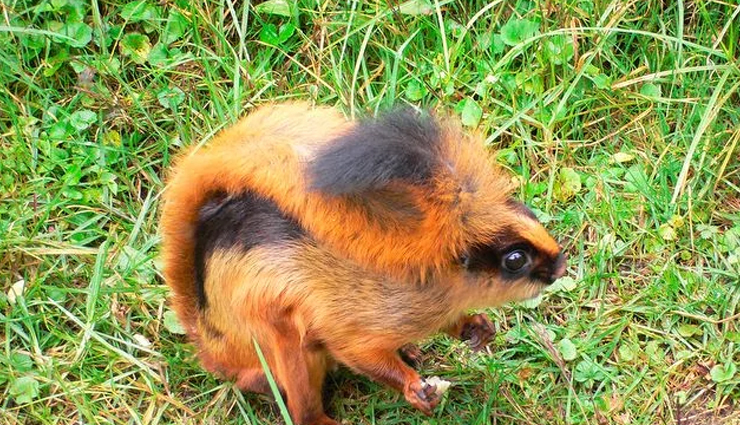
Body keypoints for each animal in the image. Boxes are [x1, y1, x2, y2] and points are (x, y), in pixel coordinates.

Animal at [160, 102, 566, 425]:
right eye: (515, 260)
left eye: (530, 213)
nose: (561, 265)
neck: (426, 277)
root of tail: (213, 348)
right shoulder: (356, 322)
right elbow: (360, 353)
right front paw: (414, 390)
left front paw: (476, 328)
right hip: (281, 343)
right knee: (298, 409)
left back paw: (411, 350)